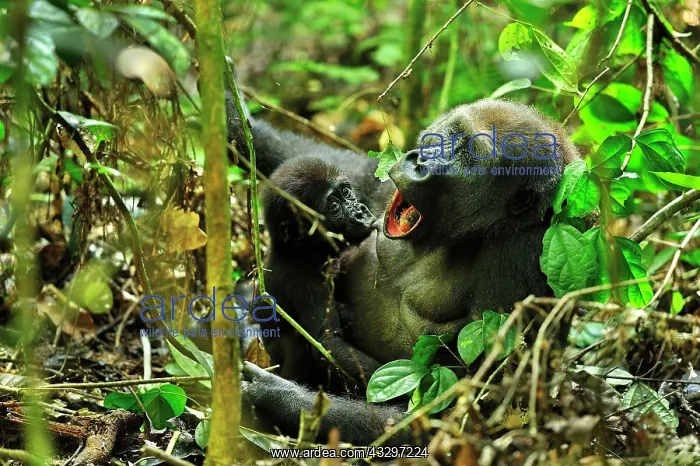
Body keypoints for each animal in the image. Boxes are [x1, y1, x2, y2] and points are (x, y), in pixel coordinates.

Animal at [260, 156, 382, 386]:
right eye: (333, 206)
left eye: (346, 192)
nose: (360, 213)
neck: (296, 250)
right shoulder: (308, 281)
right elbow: (327, 344)